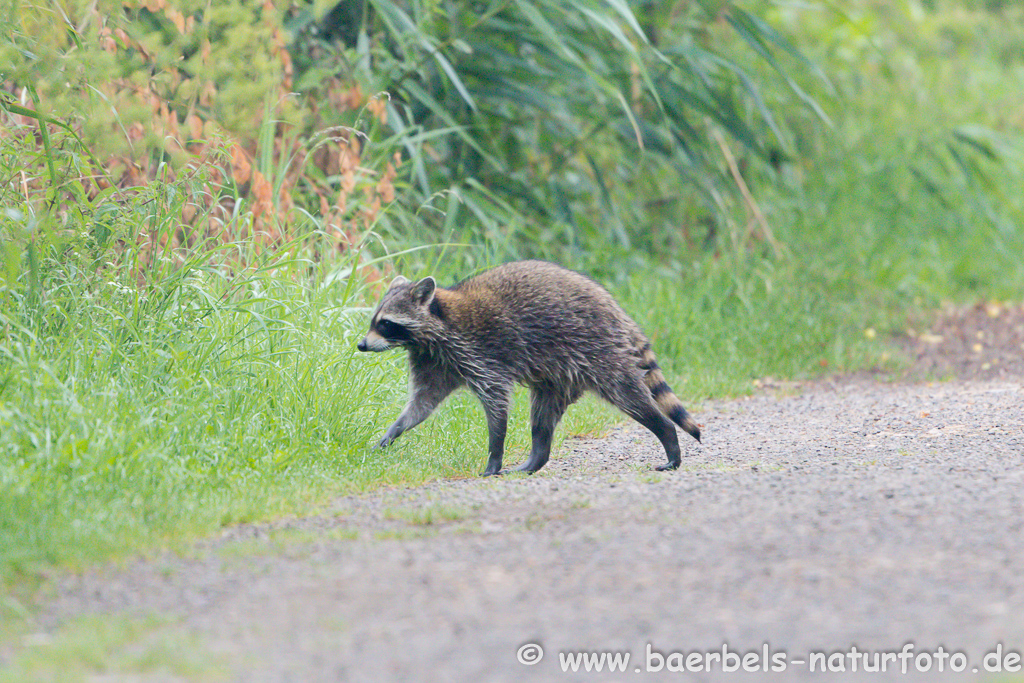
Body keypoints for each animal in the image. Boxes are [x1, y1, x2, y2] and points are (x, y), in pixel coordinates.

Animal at [356, 259, 700, 479]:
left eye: (385, 324)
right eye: (374, 320)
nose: (361, 345)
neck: (434, 327)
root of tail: (617, 310)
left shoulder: (481, 354)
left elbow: (497, 407)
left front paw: (494, 455)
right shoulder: (436, 362)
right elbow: (422, 405)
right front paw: (392, 432)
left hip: (600, 351)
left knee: (629, 395)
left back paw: (667, 434)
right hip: (559, 376)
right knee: (543, 418)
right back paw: (536, 458)